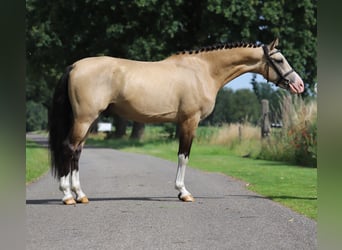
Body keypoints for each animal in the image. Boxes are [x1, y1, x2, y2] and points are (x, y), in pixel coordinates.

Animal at [48, 37, 304, 205]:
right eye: (280, 59)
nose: (299, 84)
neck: (203, 70)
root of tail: (75, 66)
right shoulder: (190, 121)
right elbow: (184, 156)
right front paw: (183, 192)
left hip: (88, 121)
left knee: (77, 152)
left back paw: (80, 195)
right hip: (84, 119)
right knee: (68, 148)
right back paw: (67, 195)